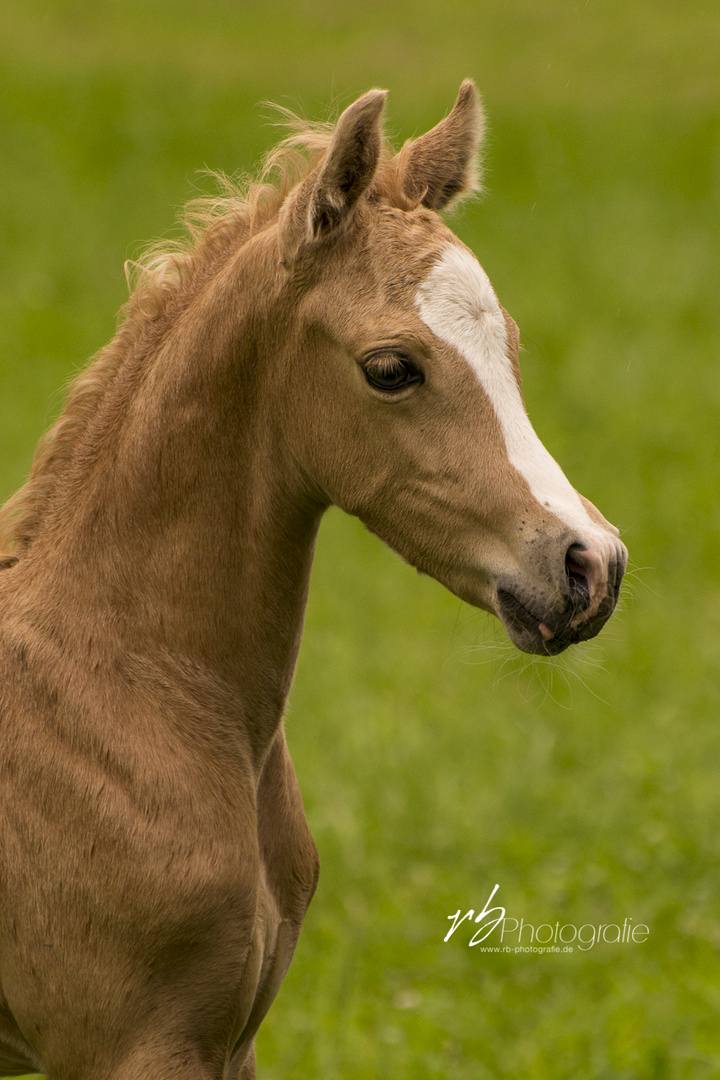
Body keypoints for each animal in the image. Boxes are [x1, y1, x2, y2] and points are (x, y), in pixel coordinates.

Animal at [0, 79, 626, 1075]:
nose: (589, 564)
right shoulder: (128, 1046)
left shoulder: (232, 1040)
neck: (129, 690)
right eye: (390, 369)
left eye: (513, 348)